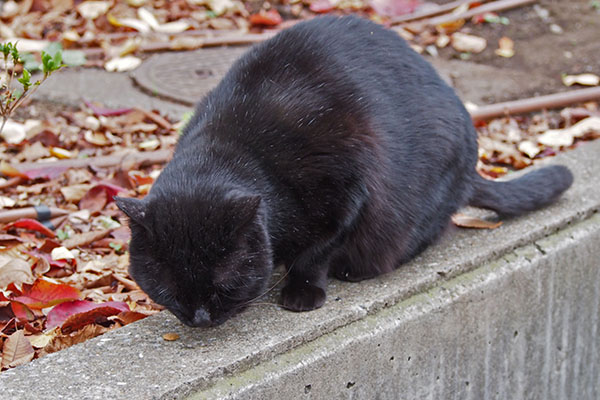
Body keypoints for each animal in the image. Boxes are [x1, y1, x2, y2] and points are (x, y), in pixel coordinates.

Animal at [116, 16, 572, 328]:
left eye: (221, 280)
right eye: (165, 284)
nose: (198, 318)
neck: (242, 151)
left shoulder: (347, 194)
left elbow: (317, 251)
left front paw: (302, 290)